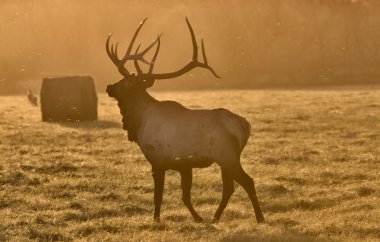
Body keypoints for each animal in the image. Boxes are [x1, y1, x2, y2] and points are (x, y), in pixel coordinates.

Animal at [104, 18, 264, 223]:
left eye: (123, 83)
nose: (109, 87)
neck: (138, 123)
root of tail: (244, 125)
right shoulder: (184, 165)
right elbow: (185, 196)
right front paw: (198, 218)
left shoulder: (157, 160)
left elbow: (158, 196)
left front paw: (156, 220)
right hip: (227, 158)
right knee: (229, 187)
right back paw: (215, 217)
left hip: (226, 155)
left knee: (247, 181)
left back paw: (259, 218)